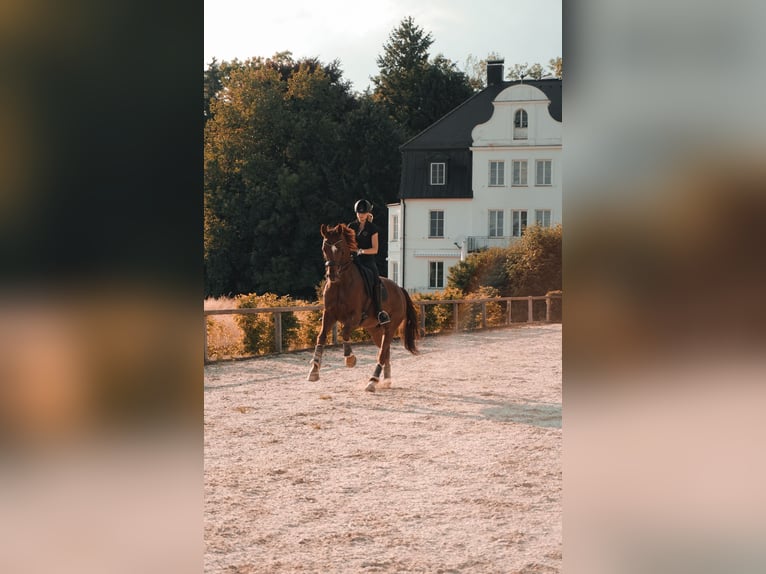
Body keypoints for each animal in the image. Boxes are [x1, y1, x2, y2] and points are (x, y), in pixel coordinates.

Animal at [307, 223, 419, 391]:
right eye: (324, 249)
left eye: (341, 249)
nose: (332, 275)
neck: (340, 283)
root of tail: (399, 289)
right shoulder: (329, 314)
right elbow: (321, 336)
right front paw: (314, 370)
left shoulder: (355, 317)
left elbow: (345, 332)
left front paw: (350, 358)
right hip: (375, 330)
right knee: (385, 352)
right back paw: (386, 380)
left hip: (390, 327)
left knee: (382, 353)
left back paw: (372, 381)